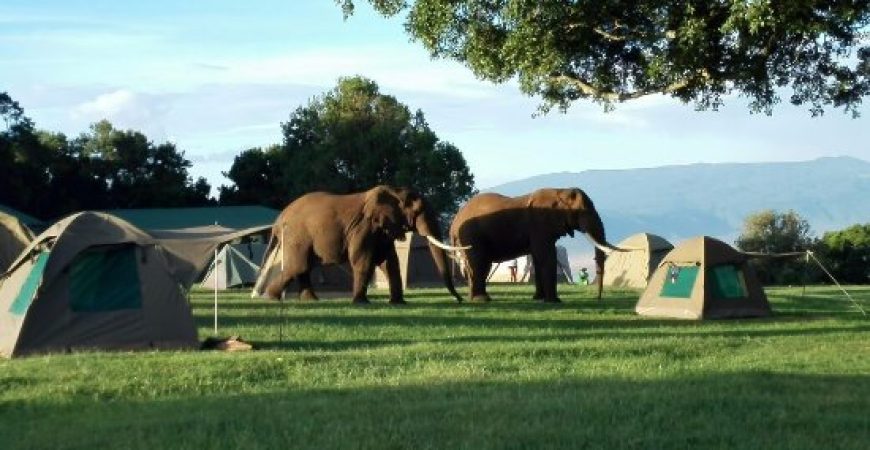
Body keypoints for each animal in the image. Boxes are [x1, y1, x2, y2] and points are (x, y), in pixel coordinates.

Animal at [264, 185, 465, 304]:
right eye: (418, 211)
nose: (460, 300)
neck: (395, 193)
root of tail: (278, 220)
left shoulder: (382, 230)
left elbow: (390, 263)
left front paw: (398, 303)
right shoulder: (364, 227)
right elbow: (363, 260)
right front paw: (361, 303)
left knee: (304, 266)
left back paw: (311, 300)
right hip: (296, 235)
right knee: (299, 266)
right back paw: (271, 298)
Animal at [449, 187, 623, 303]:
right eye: (583, 211)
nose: (597, 298)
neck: (560, 191)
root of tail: (455, 221)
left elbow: (538, 259)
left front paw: (538, 299)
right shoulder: (540, 224)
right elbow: (546, 256)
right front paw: (554, 302)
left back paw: (475, 299)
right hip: (472, 236)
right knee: (479, 263)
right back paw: (481, 300)